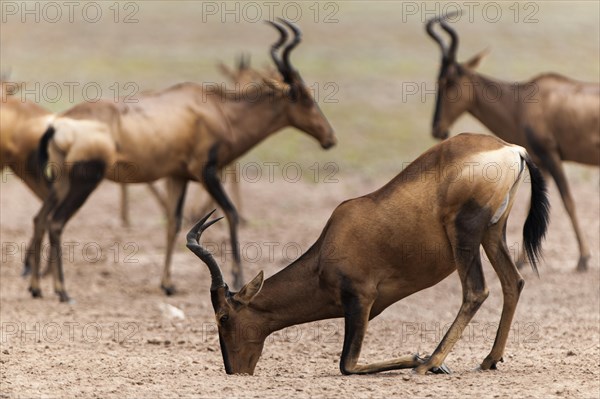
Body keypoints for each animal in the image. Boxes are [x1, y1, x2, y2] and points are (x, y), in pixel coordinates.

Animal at [25, 20, 336, 304]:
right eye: (303, 96)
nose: (329, 138)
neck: (216, 109)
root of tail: (58, 123)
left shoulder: (178, 176)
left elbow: (173, 224)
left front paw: (168, 285)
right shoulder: (207, 172)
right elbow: (231, 213)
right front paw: (238, 278)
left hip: (63, 180)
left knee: (40, 217)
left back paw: (36, 287)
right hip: (85, 180)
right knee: (56, 222)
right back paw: (63, 291)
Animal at [188, 134, 548, 376]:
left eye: (223, 317)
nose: (235, 371)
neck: (329, 246)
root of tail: (510, 149)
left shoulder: (359, 300)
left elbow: (347, 364)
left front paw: (418, 359)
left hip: (466, 233)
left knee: (476, 291)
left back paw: (430, 363)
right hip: (493, 231)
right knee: (513, 282)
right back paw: (488, 360)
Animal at [426, 14, 600, 272]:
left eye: (449, 80)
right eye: (437, 78)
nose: (438, 129)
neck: (524, 102)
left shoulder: (551, 156)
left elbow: (569, 202)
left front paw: (583, 259)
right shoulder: (541, 162)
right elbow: (534, 206)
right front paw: (521, 260)